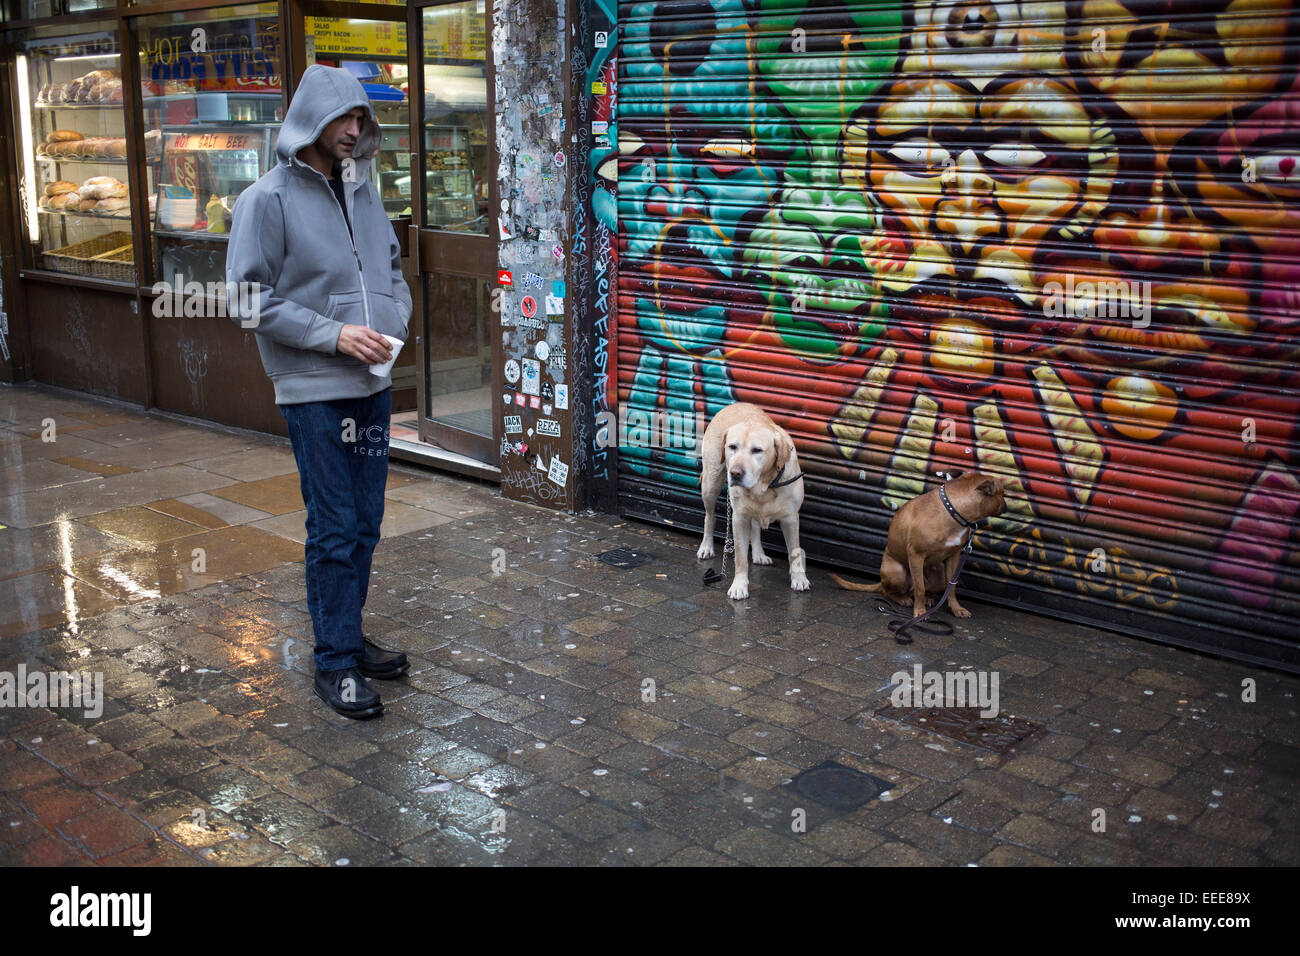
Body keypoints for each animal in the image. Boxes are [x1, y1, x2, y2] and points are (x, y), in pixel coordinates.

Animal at [696, 403, 806, 598]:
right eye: (732, 447)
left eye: (757, 450)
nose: (735, 473)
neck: (764, 485)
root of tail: (734, 404)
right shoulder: (739, 518)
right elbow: (740, 557)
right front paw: (739, 586)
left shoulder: (791, 518)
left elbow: (794, 551)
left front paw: (799, 579)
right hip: (711, 483)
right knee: (709, 517)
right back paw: (706, 547)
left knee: (755, 527)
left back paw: (758, 554)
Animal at [832, 473, 1003, 621]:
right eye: (1003, 493)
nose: (1006, 504)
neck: (952, 511)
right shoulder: (916, 555)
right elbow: (920, 588)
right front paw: (920, 612)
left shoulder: (953, 557)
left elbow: (952, 587)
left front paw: (956, 608)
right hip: (897, 572)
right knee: (889, 591)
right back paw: (903, 599)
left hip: (939, 573)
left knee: (928, 589)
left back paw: (930, 598)